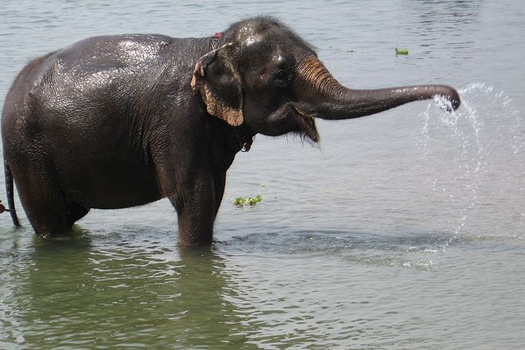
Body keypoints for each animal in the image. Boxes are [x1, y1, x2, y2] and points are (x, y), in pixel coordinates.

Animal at [0, 16, 458, 246]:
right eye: (281, 75)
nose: (453, 102)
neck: (211, 44)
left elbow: (216, 193)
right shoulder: (177, 119)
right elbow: (193, 196)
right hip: (30, 154)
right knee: (51, 219)